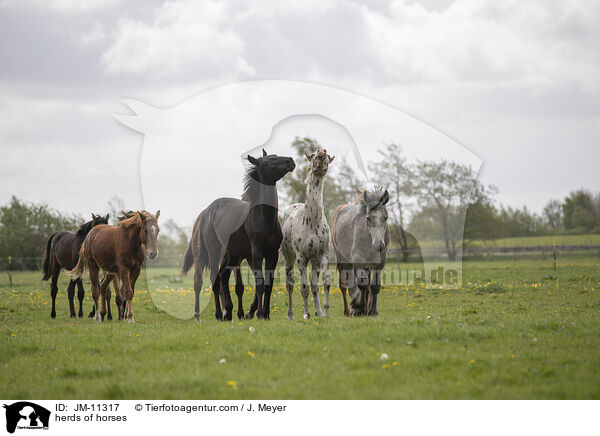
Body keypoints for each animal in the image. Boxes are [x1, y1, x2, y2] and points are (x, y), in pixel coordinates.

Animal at [183, 149, 296, 320]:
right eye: (266, 162)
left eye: (275, 156)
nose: (290, 161)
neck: (263, 218)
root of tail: (206, 212)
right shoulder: (256, 253)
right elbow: (260, 283)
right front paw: (260, 313)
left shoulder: (272, 254)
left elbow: (268, 284)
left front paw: (266, 314)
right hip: (214, 251)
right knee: (214, 279)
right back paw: (219, 314)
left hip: (232, 254)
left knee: (223, 277)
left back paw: (229, 313)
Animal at [280, 148, 332, 318]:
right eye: (314, 154)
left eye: (328, 156)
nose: (322, 152)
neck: (312, 223)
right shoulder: (301, 258)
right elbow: (304, 288)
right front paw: (307, 314)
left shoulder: (322, 255)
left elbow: (323, 283)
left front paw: (324, 312)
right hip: (289, 259)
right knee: (290, 285)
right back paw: (291, 314)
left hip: (313, 260)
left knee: (314, 286)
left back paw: (318, 311)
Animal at [330, 187, 392, 316]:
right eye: (368, 218)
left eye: (386, 217)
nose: (379, 245)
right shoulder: (358, 259)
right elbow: (361, 284)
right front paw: (358, 308)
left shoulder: (380, 263)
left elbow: (374, 286)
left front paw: (373, 311)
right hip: (344, 260)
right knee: (346, 285)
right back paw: (348, 310)